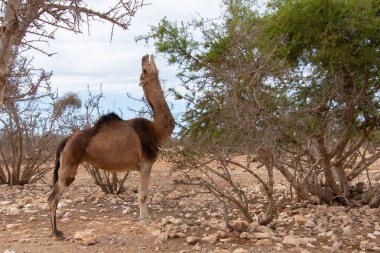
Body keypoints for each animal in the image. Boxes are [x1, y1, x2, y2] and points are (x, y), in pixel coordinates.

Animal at [47, 53, 175, 239]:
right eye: (145, 69)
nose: (147, 56)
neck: (157, 130)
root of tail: (66, 140)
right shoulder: (146, 163)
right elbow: (143, 194)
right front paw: (145, 221)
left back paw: (56, 230)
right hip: (70, 159)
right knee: (53, 197)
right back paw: (56, 233)